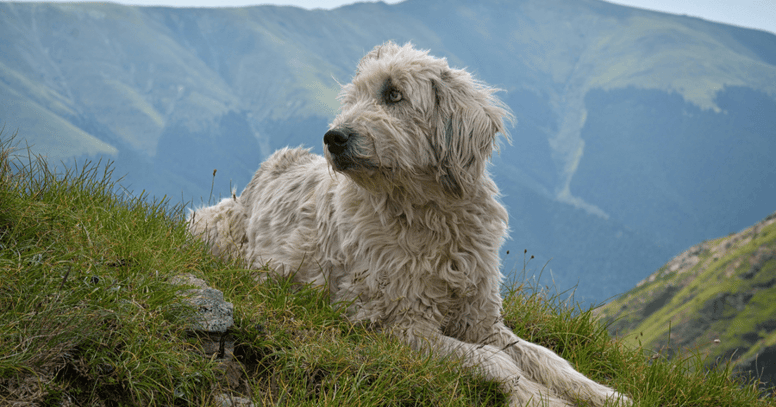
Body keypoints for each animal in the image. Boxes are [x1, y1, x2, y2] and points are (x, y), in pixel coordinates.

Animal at [189, 42, 632, 407]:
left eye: (393, 94)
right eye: (354, 96)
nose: (333, 137)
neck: (432, 219)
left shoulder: (483, 321)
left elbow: (549, 359)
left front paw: (607, 394)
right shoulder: (392, 323)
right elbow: (494, 362)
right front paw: (538, 398)